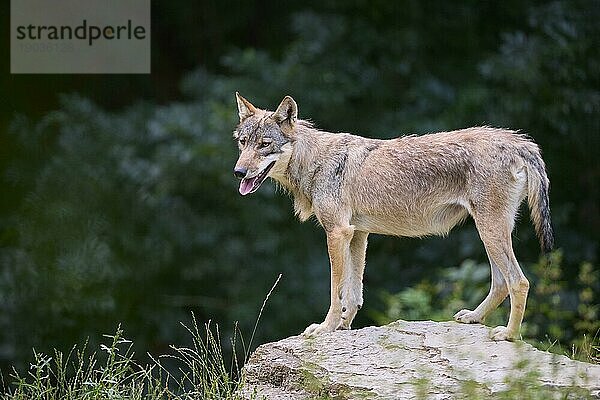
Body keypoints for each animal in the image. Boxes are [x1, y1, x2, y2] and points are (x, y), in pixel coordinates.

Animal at [233, 93, 552, 340]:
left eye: (264, 144)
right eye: (242, 142)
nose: (238, 172)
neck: (313, 161)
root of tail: (519, 142)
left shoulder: (337, 232)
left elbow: (336, 291)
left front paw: (325, 328)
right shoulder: (357, 234)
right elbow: (354, 293)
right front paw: (344, 327)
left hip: (490, 231)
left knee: (519, 282)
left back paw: (509, 335)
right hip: (489, 233)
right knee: (501, 283)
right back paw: (474, 318)